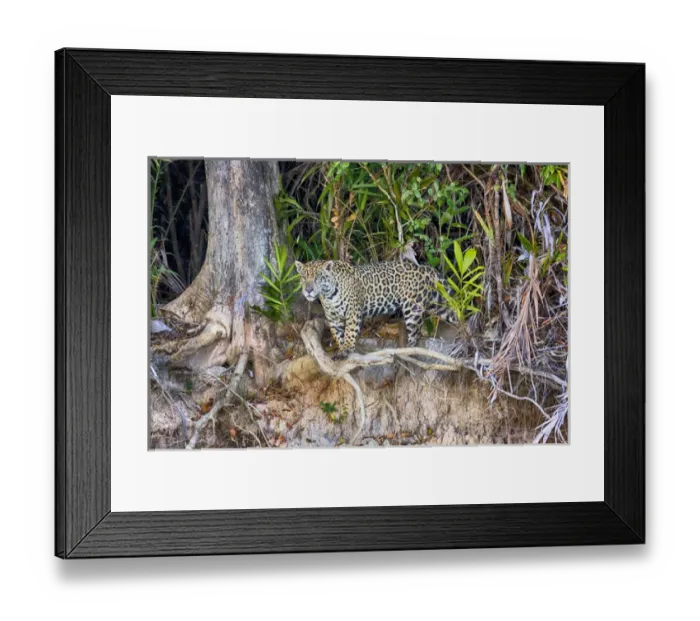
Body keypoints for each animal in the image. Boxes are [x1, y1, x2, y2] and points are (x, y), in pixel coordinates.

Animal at [294, 259, 456, 357]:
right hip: (439, 304)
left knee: (415, 334)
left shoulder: (353, 312)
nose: (308, 290)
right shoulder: (333, 318)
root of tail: (428, 268)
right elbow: (338, 335)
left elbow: (349, 332)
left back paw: (408, 350)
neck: (328, 296)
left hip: (413, 308)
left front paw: (347, 347)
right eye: (303, 277)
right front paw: (342, 349)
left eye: (318, 277)